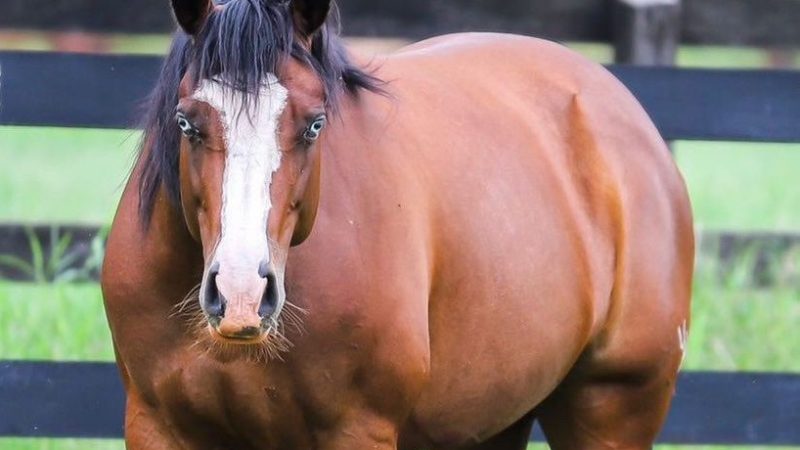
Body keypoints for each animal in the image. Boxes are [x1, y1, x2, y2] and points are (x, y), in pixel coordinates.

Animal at [103, 0, 692, 450]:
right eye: (187, 122)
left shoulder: (357, 430)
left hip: (614, 402)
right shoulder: (156, 426)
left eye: (315, 124)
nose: (241, 293)